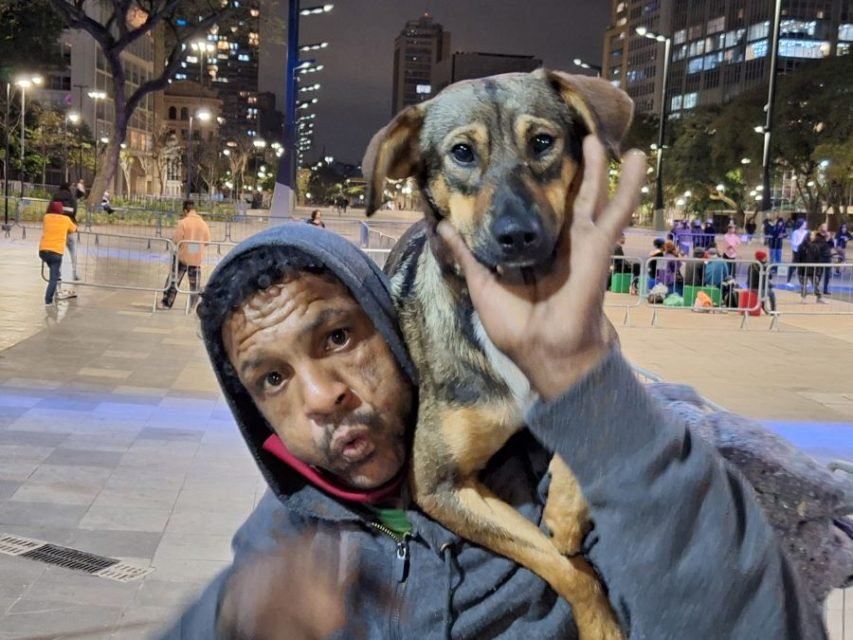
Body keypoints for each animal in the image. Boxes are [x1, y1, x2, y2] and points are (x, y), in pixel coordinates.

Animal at [362, 70, 636, 640]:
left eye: (543, 142)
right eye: (462, 153)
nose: (518, 236)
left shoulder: (602, 349)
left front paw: (566, 512)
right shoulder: (439, 487)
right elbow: (557, 563)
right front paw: (600, 622)